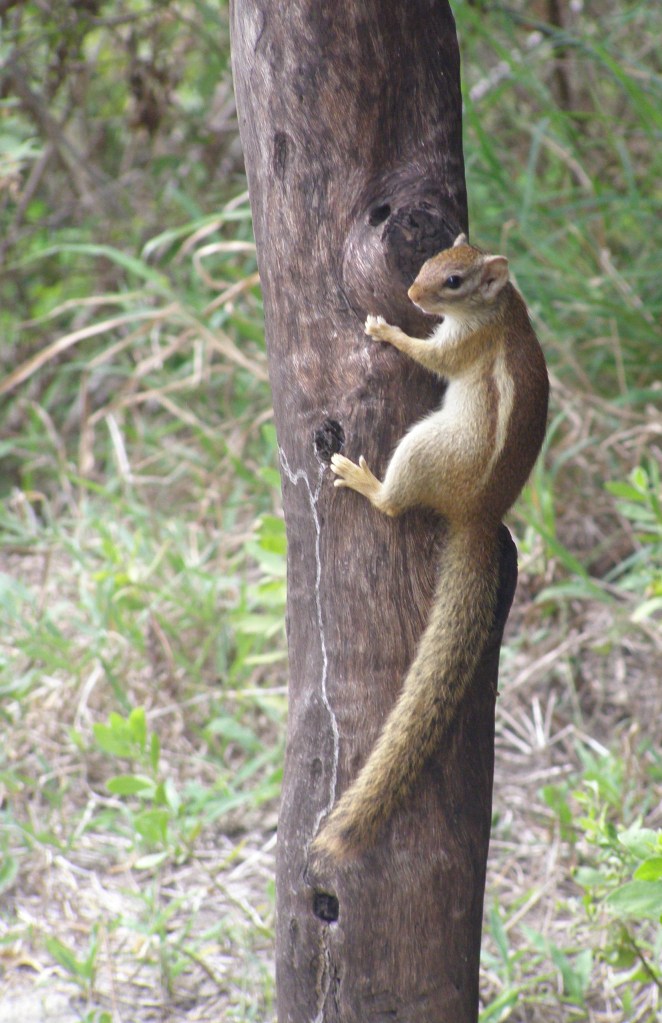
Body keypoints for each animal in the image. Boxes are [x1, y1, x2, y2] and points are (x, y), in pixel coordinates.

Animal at [312, 233, 549, 862]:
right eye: (427, 262)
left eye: (454, 281)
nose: (414, 295)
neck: (499, 306)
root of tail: (478, 516)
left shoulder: (462, 344)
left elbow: (430, 357)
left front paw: (387, 330)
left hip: (424, 444)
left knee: (394, 505)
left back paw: (363, 480)